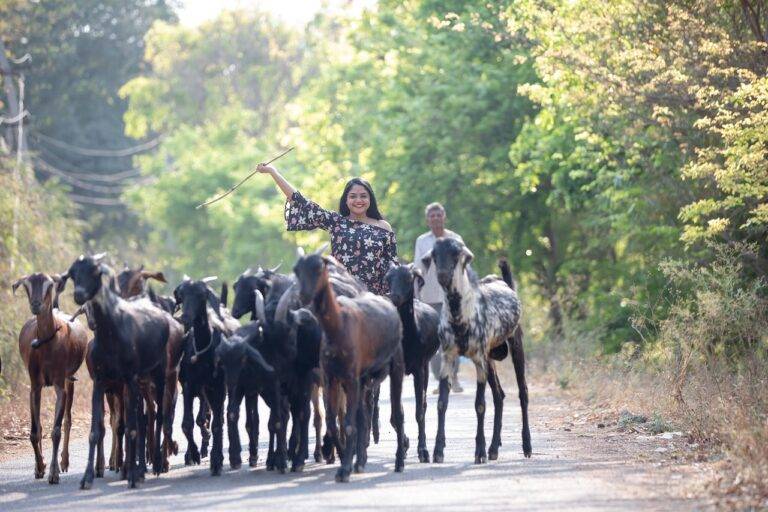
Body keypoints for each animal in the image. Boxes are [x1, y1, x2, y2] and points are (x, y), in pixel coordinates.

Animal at [12, 274, 89, 482]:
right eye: (26, 284)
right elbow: (34, 430)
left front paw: (54, 472)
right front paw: (40, 467)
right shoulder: (35, 385)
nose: (36, 304)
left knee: (68, 420)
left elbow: (56, 430)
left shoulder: (60, 381)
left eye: (49, 284)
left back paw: (64, 462)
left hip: (70, 379)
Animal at [63, 254, 183, 490]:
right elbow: (99, 429)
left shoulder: (131, 380)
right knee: (147, 416)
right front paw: (89, 476)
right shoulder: (102, 382)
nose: (79, 294)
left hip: (162, 377)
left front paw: (134, 472)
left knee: (161, 416)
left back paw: (157, 462)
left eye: (95, 271)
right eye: (72, 273)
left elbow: (134, 426)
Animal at [292, 246, 408, 482]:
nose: (304, 296)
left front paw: (343, 466)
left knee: (396, 413)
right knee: (360, 415)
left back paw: (399, 461)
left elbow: (347, 422)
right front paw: (340, 454)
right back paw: (357, 458)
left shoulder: (350, 378)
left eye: (318, 267)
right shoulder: (327, 377)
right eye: (296, 269)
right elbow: (331, 419)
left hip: (395, 370)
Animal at [384, 262, 438, 462]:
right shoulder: (394, 372)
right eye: (388, 278)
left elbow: (418, 412)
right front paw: (404, 445)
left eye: (408, 278)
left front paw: (423, 450)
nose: (394, 297)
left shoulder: (418, 369)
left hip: (426, 367)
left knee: (424, 404)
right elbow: (395, 414)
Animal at [424, 239, 532, 464]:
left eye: (456, 254)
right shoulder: (448, 357)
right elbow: (441, 403)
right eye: (435, 255)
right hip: (490, 358)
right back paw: (494, 448)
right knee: (499, 395)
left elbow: (480, 404)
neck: (461, 317)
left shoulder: (478, 359)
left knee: (523, 392)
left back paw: (526, 446)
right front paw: (438, 451)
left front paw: (479, 452)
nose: (443, 275)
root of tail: (505, 283)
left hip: (515, 344)